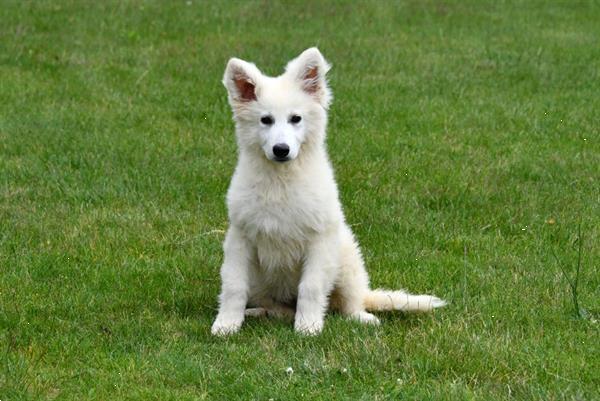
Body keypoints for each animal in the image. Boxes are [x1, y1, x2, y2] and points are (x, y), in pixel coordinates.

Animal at [211, 47, 446, 334]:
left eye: (296, 119)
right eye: (265, 120)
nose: (281, 150)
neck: (281, 181)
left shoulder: (319, 240)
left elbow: (311, 288)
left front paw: (308, 328)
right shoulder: (240, 238)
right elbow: (233, 286)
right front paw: (226, 325)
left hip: (346, 261)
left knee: (347, 304)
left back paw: (360, 318)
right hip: (262, 283)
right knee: (278, 310)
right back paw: (258, 312)